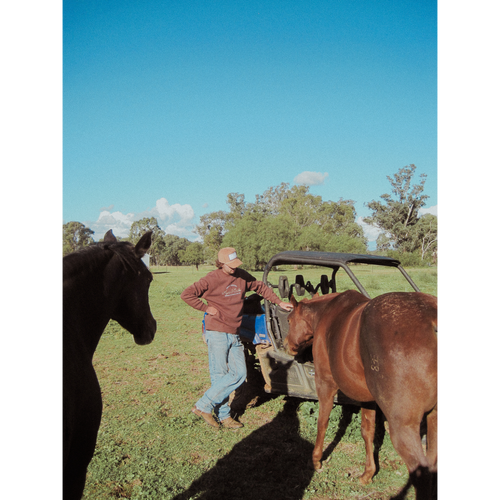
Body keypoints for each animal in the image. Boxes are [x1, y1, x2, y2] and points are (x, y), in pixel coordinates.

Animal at [284, 292, 440, 498]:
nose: (286, 344)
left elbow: (322, 422)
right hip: (435, 419)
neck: (327, 312)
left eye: (289, 319)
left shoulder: (325, 383)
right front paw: (368, 473)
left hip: (404, 428)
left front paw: (316, 460)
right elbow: (368, 432)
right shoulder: (368, 399)